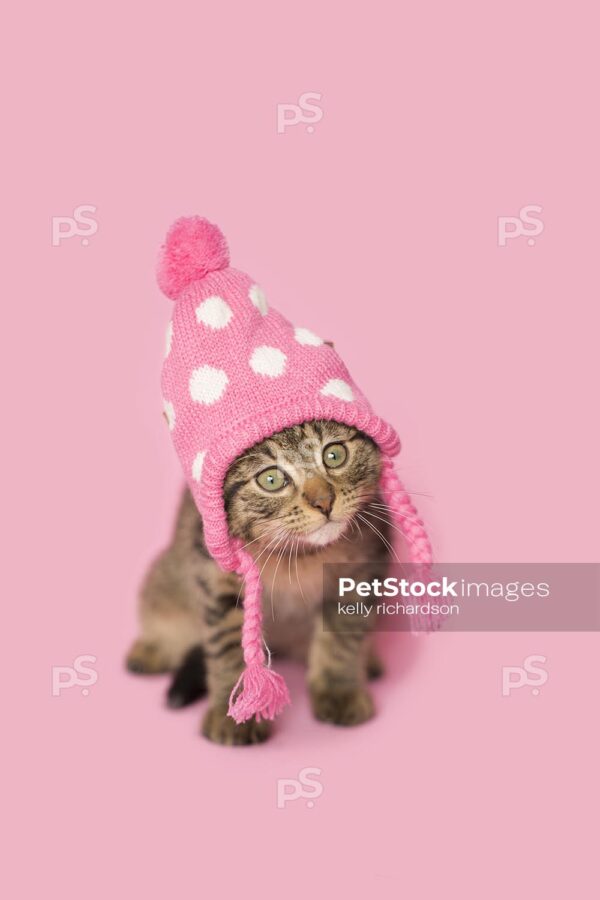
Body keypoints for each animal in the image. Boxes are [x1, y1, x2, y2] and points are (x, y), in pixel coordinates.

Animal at [126, 422, 390, 744]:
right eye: (271, 479)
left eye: (335, 455)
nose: (324, 501)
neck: (299, 555)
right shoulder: (214, 572)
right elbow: (228, 643)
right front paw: (235, 713)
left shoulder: (364, 565)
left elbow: (343, 637)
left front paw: (339, 691)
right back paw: (153, 649)